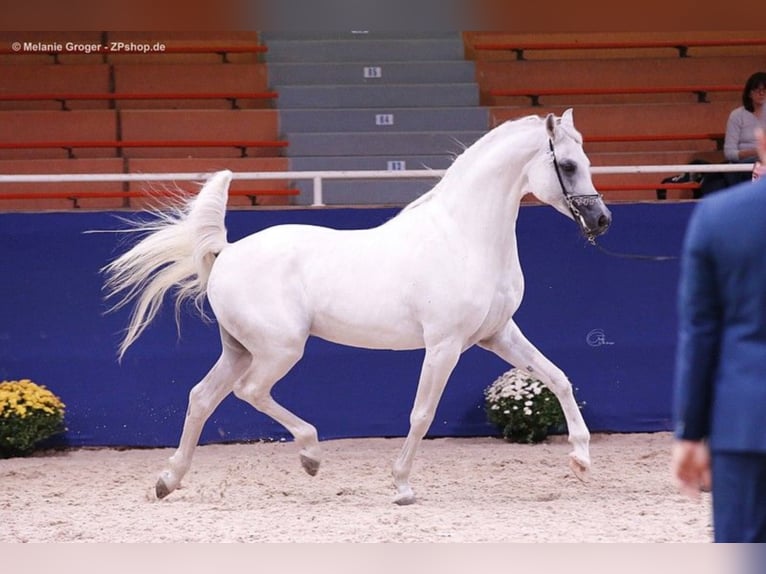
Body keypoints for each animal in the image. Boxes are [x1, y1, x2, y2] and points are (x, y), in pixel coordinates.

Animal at [106, 108, 612, 504]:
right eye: (568, 165)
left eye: (587, 162)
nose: (601, 219)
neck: (464, 237)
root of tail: (227, 252)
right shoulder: (444, 344)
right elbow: (422, 414)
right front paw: (402, 485)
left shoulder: (498, 334)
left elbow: (558, 378)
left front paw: (581, 460)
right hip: (279, 349)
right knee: (249, 392)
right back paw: (310, 454)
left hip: (240, 349)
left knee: (201, 397)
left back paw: (168, 481)